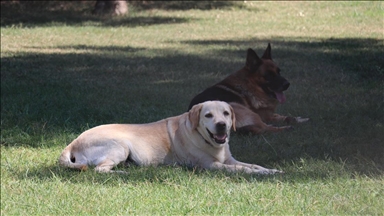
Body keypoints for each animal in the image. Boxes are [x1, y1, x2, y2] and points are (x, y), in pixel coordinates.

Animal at [59, 101, 282, 174]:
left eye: (226, 113)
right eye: (208, 115)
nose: (222, 125)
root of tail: (73, 142)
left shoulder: (229, 159)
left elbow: (253, 165)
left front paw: (271, 170)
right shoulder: (212, 166)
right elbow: (241, 170)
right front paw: (259, 174)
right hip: (120, 146)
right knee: (99, 170)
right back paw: (123, 173)